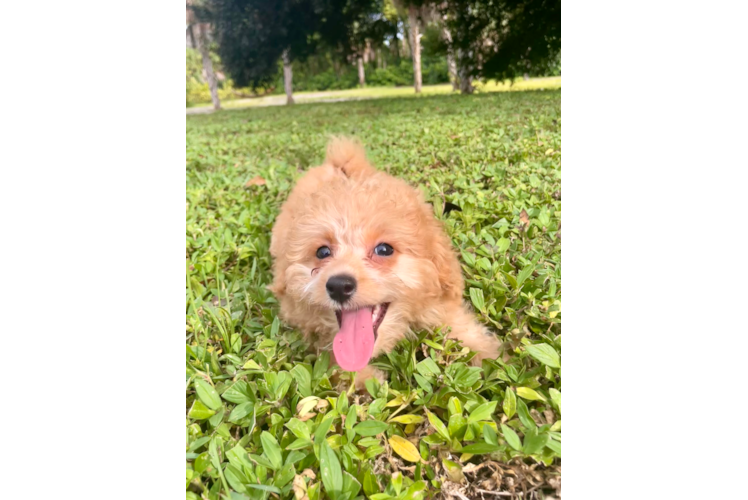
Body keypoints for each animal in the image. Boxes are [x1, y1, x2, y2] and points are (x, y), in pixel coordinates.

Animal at [268, 139, 502, 388]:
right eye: (322, 252)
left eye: (384, 250)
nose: (339, 286)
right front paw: (363, 383)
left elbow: (456, 321)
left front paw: (490, 355)